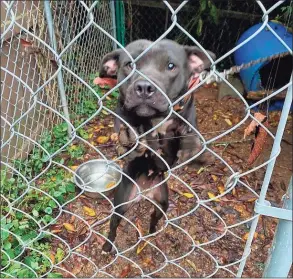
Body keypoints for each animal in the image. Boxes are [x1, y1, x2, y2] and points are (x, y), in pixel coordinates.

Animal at [98, 40, 214, 254]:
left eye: (171, 66)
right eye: (129, 64)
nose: (144, 86)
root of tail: (144, 193)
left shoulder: (186, 116)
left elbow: (186, 131)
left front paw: (194, 149)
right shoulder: (123, 114)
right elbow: (128, 126)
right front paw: (131, 137)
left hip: (163, 203)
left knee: (154, 217)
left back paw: (152, 232)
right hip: (121, 204)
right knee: (113, 225)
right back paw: (107, 245)